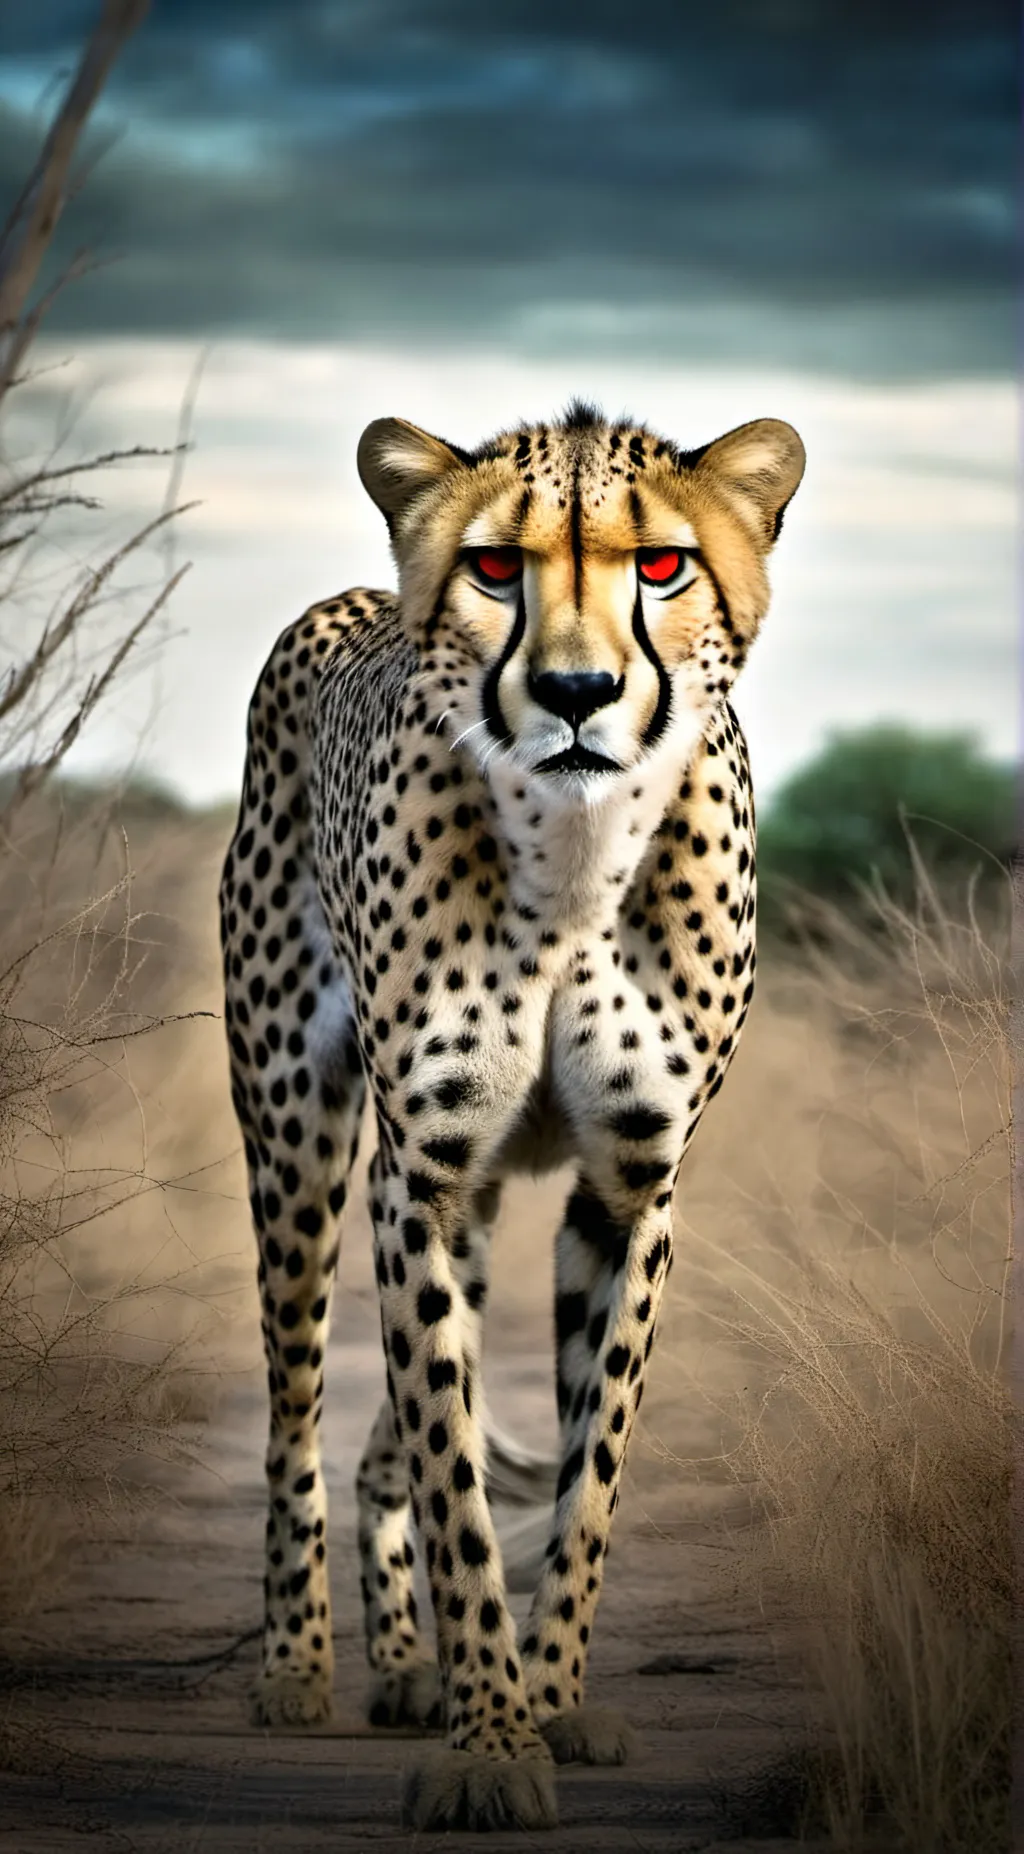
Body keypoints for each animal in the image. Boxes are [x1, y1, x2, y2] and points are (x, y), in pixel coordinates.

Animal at [218, 398, 804, 1833]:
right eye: (494, 569)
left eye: (663, 566)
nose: (578, 696)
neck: (574, 853)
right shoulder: (416, 1178)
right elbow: (456, 1476)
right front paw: (489, 1744)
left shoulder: (628, 1190)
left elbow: (586, 1477)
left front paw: (551, 1703)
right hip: (301, 1146)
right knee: (301, 1413)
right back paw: (303, 1666)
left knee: (384, 1449)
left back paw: (400, 1663)